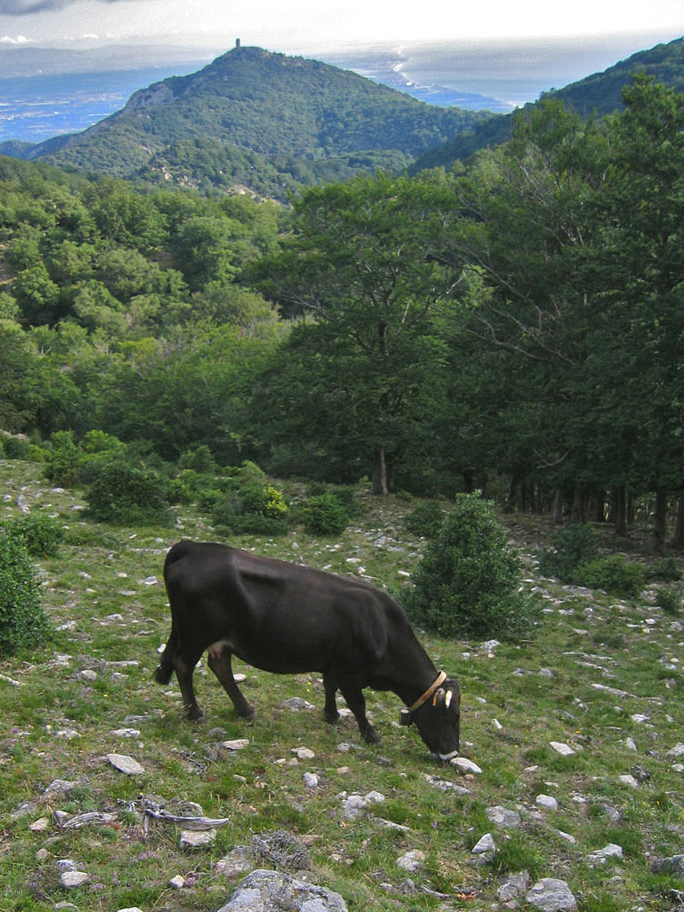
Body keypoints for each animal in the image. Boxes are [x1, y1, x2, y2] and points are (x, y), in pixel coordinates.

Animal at [155, 536, 460, 760]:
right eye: (452, 716)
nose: (451, 756)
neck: (383, 627)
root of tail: (195, 546)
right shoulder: (350, 671)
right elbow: (358, 704)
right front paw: (371, 735)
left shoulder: (333, 663)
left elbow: (329, 686)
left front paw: (331, 715)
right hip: (195, 634)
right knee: (184, 664)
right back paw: (194, 712)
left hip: (219, 638)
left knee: (220, 666)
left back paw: (245, 709)